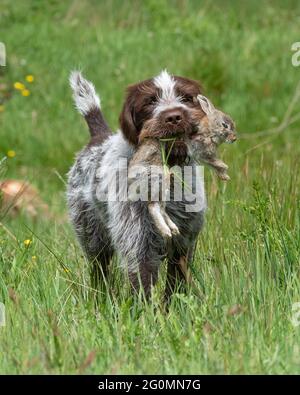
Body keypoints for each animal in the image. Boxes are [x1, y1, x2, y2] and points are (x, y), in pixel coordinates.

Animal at [67, 71, 206, 300]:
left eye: (186, 97)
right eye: (149, 102)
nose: (173, 117)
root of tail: (98, 138)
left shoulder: (184, 242)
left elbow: (175, 286)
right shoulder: (139, 244)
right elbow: (142, 284)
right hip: (92, 237)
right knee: (99, 272)